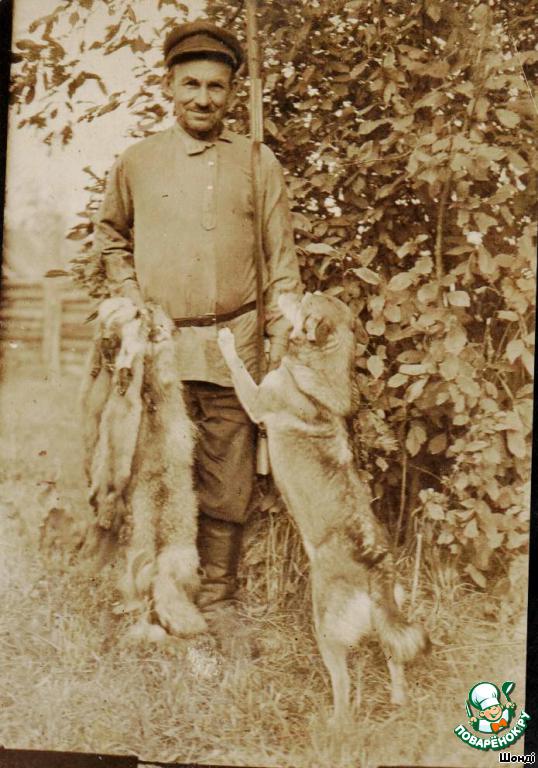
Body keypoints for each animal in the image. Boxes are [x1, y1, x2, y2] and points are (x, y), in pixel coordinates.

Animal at [216, 292, 426, 720]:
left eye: (305, 300)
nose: (282, 294)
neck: (318, 373)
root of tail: (375, 565)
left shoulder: (257, 398)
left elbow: (239, 368)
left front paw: (227, 341)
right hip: (389, 617)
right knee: (395, 657)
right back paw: (398, 701)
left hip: (325, 625)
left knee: (343, 686)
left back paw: (334, 723)